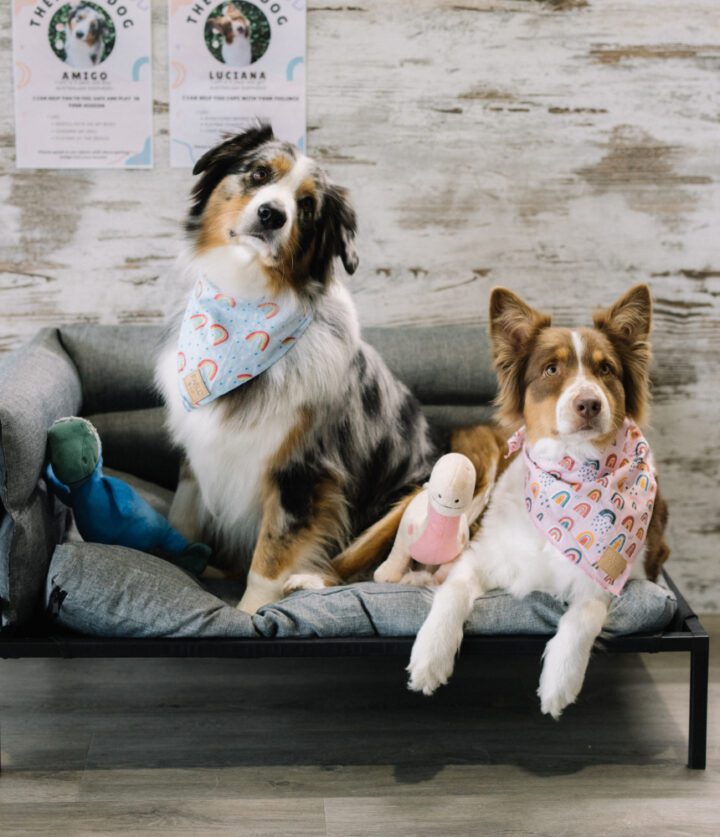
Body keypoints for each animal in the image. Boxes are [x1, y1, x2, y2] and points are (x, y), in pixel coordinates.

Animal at [156, 124, 438, 612]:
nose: (272, 215)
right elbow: (183, 519)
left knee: (361, 567)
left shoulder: (304, 472)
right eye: (259, 173)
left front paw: (249, 614)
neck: (248, 298)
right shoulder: (198, 454)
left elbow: (270, 556)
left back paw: (308, 582)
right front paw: (175, 564)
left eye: (307, 208)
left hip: (415, 494)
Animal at [400, 286, 664, 712]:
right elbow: (453, 591)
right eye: (551, 370)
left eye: (606, 370)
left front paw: (559, 681)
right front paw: (429, 657)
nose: (589, 404)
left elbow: (583, 615)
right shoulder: (483, 556)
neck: (572, 477)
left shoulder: (607, 577)